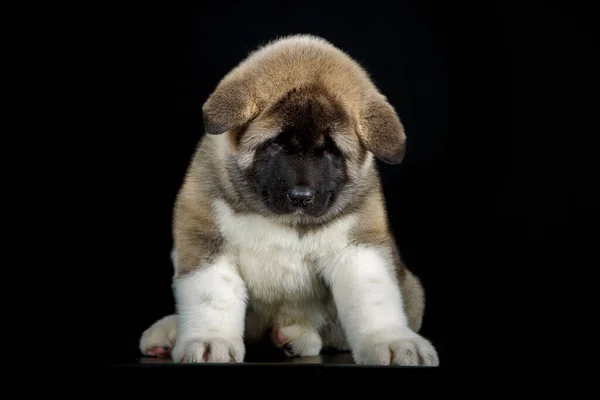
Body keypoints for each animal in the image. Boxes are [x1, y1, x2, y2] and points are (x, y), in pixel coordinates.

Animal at [141, 34, 440, 366]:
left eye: (331, 150)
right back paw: (169, 332)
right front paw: (209, 340)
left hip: (411, 289)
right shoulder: (204, 236)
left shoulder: (359, 247)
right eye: (276, 144)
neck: (281, 220)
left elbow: (373, 299)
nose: (301, 197)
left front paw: (391, 340)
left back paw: (294, 338)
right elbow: (211, 295)